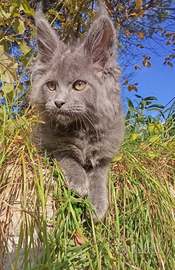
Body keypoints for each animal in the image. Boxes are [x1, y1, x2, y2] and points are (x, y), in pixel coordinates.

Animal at [30, 6, 124, 221]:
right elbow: (67, 156)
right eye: (51, 85)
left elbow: (99, 175)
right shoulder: (48, 144)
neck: (82, 129)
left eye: (79, 85)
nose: (58, 102)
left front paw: (97, 204)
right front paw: (79, 183)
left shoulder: (105, 152)